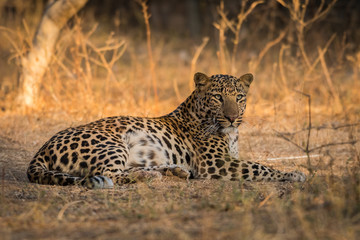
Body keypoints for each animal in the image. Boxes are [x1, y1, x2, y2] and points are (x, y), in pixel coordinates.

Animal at [26, 72, 306, 188]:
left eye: (239, 97)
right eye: (218, 97)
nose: (232, 117)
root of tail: (42, 148)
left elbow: (257, 164)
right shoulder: (216, 163)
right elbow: (260, 167)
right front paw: (294, 174)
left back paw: (172, 171)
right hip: (112, 143)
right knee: (109, 175)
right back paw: (149, 176)